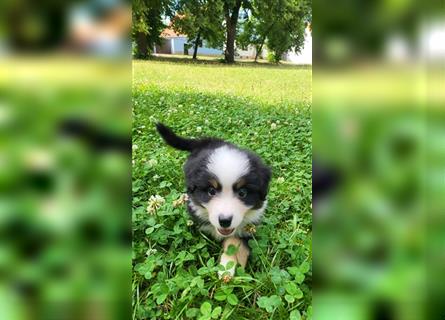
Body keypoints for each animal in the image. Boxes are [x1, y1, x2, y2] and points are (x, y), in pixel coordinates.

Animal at [156, 122, 270, 278]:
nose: (225, 221)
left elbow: (236, 243)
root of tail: (207, 140)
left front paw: (231, 268)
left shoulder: (248, 226)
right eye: (211, 191)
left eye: (242, 193)